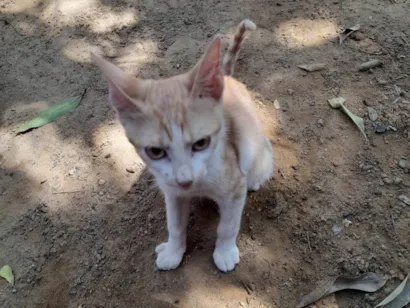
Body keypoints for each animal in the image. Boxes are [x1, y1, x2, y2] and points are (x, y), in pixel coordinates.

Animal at [91, 18, 274, 272]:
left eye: (201, 143)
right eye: (155, 151)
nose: (185, 181)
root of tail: (227, 78)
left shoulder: (234, 185)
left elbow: (228, 226)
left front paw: (225, 251)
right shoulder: (171, 190)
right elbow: (175, 224)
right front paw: (173, 250)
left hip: (259, 152)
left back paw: (254, 181)